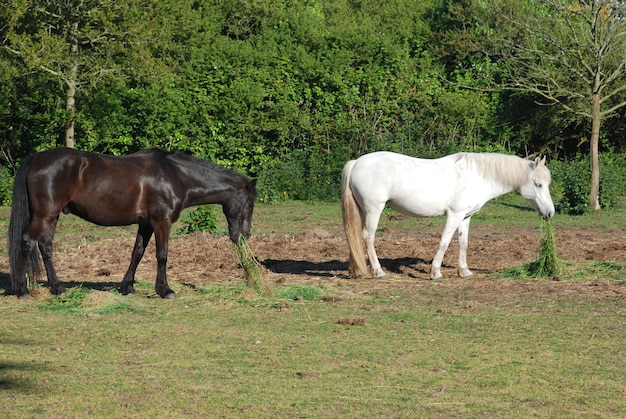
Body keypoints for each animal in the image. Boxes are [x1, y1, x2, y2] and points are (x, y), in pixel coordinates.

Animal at [7, 148, 256, 298]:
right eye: (250, 204)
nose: (243, 236)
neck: (175, 176)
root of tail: (36, 158)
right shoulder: (162, 222)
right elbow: (162, 255)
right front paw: (165, 290)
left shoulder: (145, 224)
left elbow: (137, 253)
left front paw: (127, 287)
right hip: (45, 215)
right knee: (27, 241)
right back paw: (23, 290)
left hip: (53, 215)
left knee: (45, 247)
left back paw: (57, 288)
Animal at [342, 151, 552, 278]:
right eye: (538, 184)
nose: (550, 213)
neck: (477, 176)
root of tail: (356, 162)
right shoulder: (454, 215)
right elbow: (444, 241)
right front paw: (435, 272)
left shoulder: (465, 217)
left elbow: (463, 243)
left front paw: (464, 271)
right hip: (373, 210)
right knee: (368, 237)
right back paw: (378, 272)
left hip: (363, 211)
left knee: (356, 237)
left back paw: (357, 270)